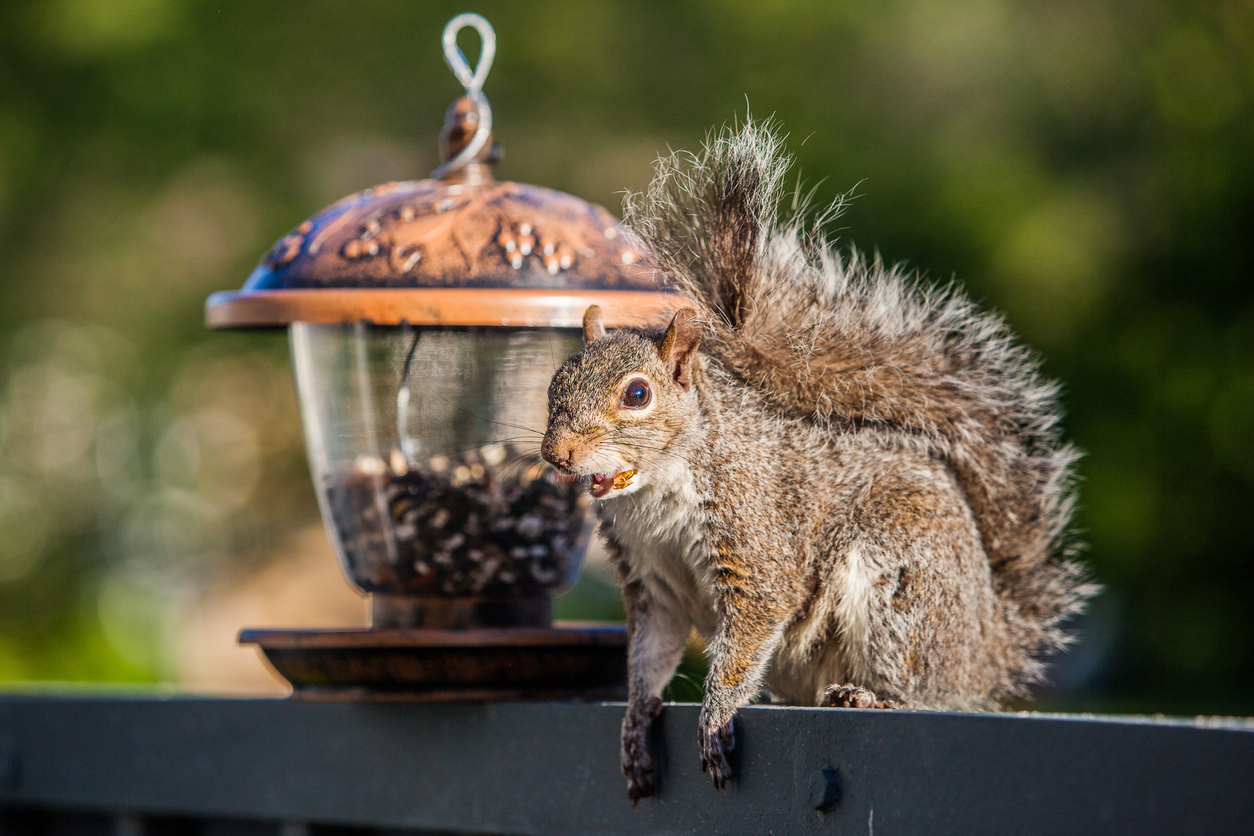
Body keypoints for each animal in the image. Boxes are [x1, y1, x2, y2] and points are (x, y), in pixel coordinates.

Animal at [539, 120, 1098, 802]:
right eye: (555, 384)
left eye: (638, 394)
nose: (556, 453)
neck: (652, 492)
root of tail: (984, 649)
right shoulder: (655, 583)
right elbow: (649, 657)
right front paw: (636, 726)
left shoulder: (754, 538)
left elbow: (749, 630)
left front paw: (715, 716)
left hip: (902, 581)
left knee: (922, 689)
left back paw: (871, 699)